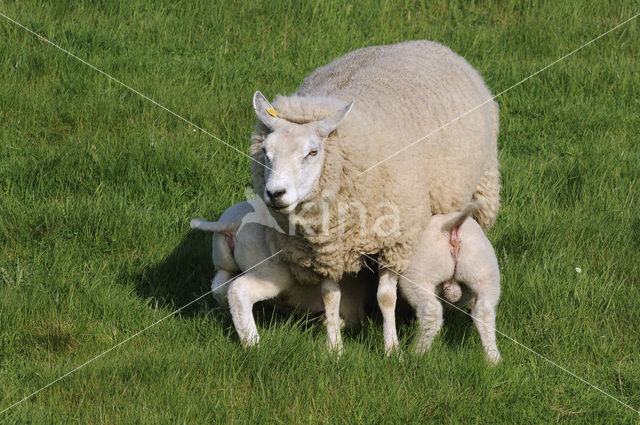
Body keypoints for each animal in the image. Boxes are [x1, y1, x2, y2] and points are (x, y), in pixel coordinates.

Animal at [190, 200, 376, 352]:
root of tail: (235, 222)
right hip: (272, 272)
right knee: (238, 290)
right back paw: (253, 344)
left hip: (223, 261)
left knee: (219, 286)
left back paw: (226, 315)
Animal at [398, 200, 502, 362]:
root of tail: (452, 229)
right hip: (485, 273)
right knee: (485, 313)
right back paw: (493, 359)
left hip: (419, 275)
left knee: (431, 312)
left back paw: (417, 352)